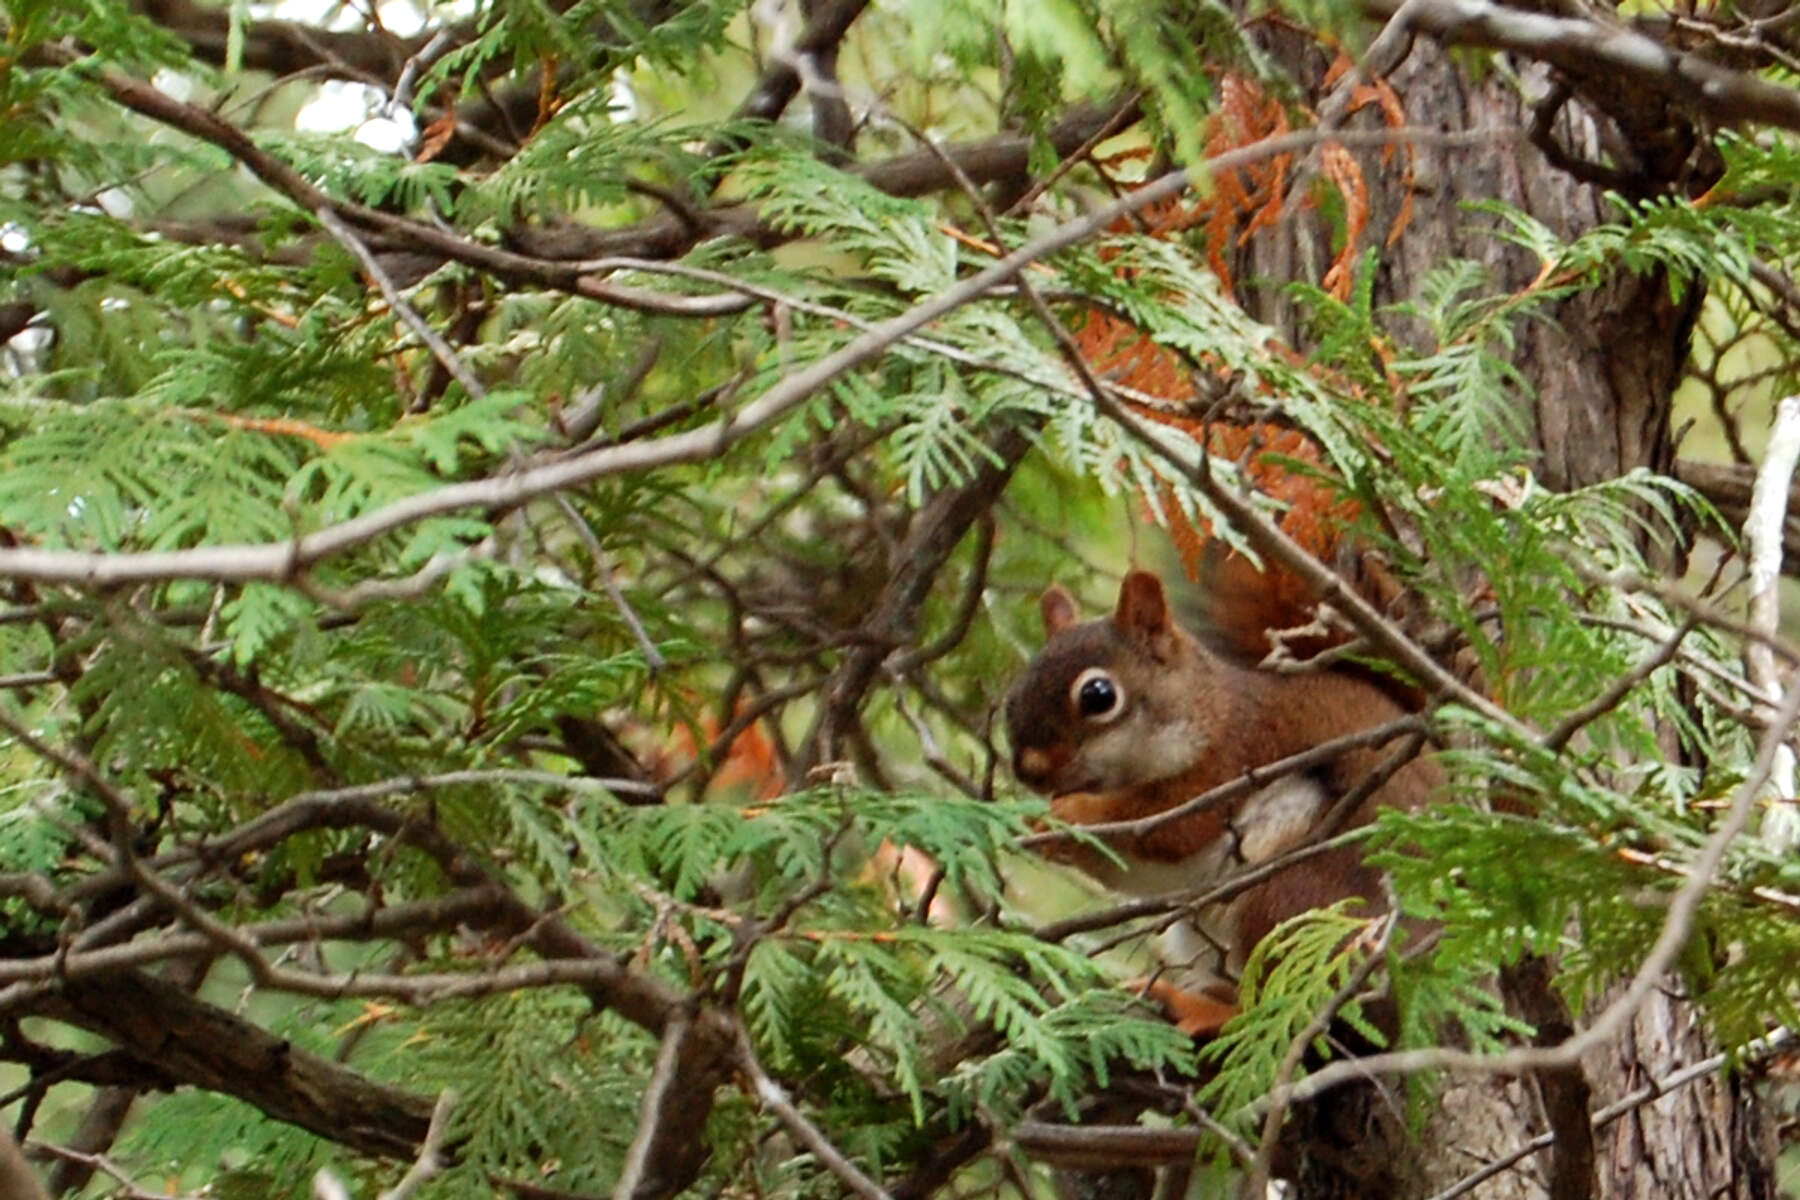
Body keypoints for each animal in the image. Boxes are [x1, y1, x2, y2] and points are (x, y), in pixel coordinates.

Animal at [1008, 572, 1440, 1036]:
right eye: (1014, 693)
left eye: (1098, 695)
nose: (1028, 770)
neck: (1207, 710)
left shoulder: (1232, 760)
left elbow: (1169, 829)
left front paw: (1069, 816)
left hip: (1291, 896)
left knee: (1289, 1009)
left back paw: (1210, 1011)